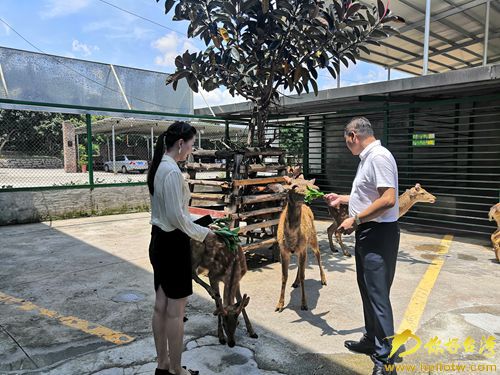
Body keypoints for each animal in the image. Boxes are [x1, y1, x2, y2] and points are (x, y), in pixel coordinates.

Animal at [274, 176, 328, 314]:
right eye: (294, 186)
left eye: (309, 183)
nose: (316, 189)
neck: (291, 237)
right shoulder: (283, 250)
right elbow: (284, 276)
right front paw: (279, 305)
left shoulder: (303, 248)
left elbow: (304, 276)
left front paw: (304, 304)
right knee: (300, 264)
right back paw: (295, 282)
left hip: (313, 238)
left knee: (318, 255)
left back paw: (323, 280)